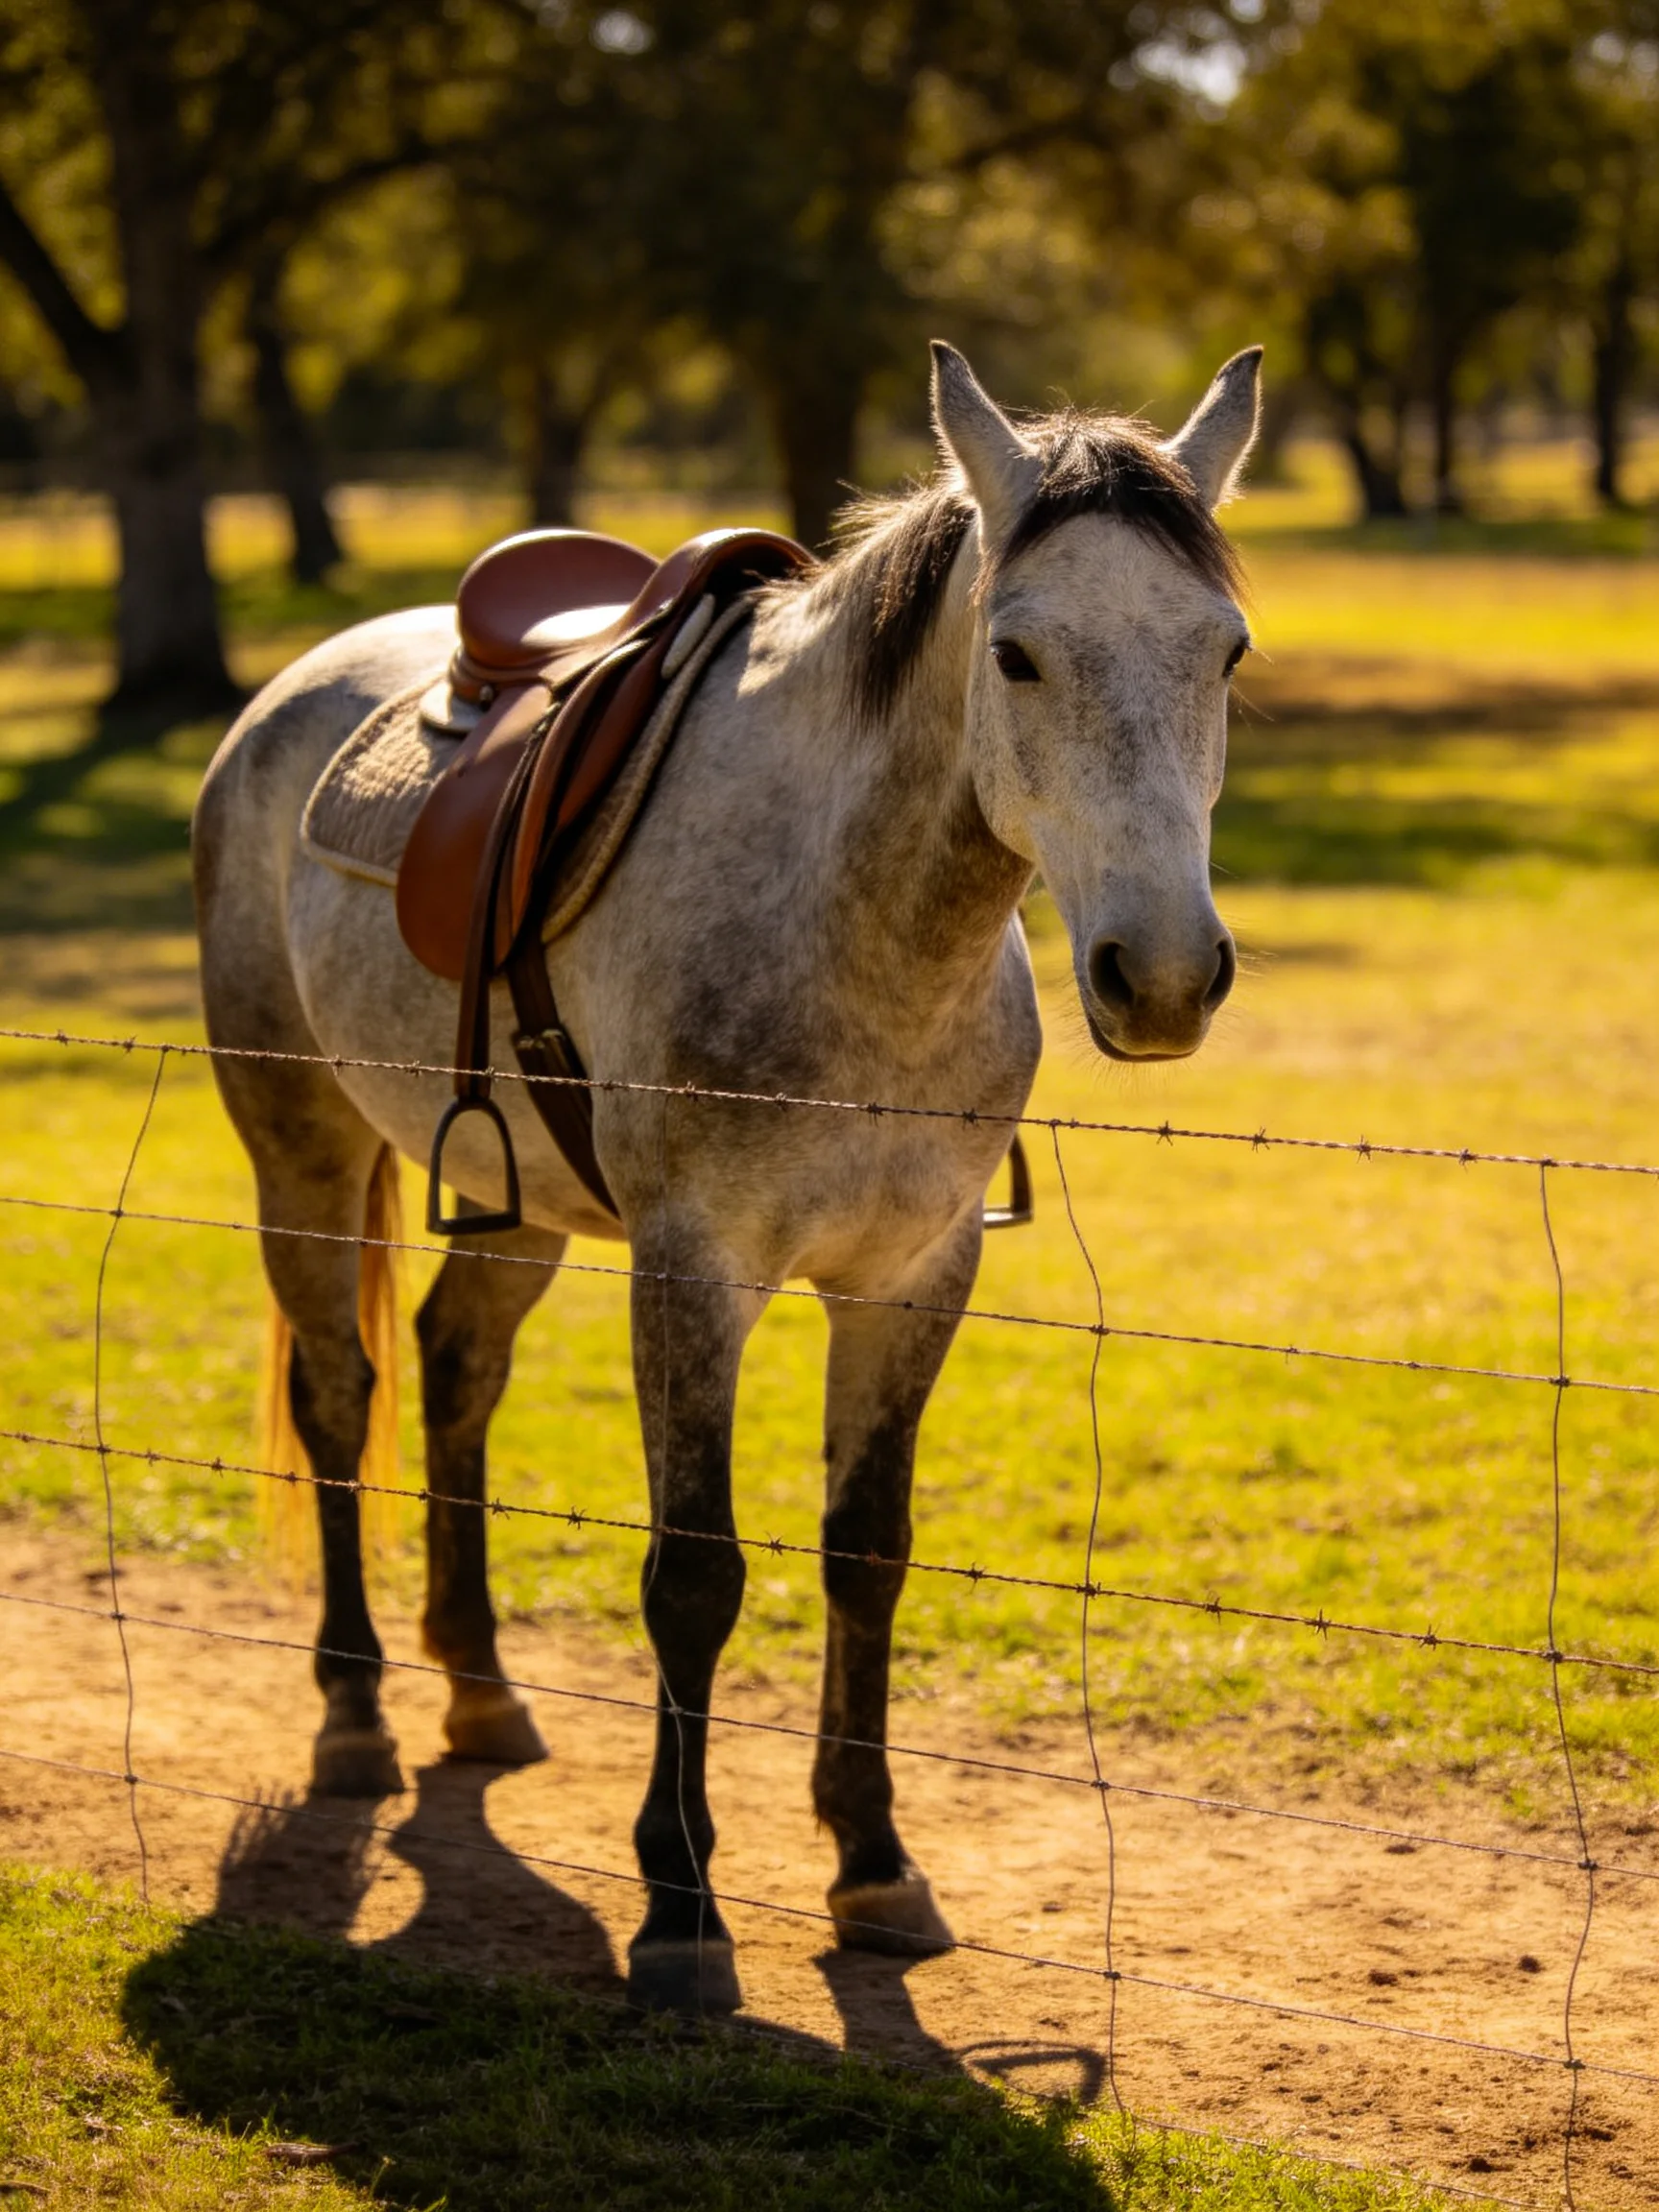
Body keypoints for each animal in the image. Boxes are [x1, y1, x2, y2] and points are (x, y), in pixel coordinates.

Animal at [192, 341, 1260, 2015]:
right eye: (1017, 656)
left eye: (1224, 653)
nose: (1160, 976)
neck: (855, 921)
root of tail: (286, 698)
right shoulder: (694, 1271)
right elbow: (695, 1574)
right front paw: (683, 1905)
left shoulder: (912, 1276)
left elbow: (867, 1555)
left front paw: (874, 1865)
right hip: (298, 1141)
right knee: (339, 1400)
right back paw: (356, 1716)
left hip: (512, 1198)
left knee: (453, 1371)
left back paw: (479, 1692)